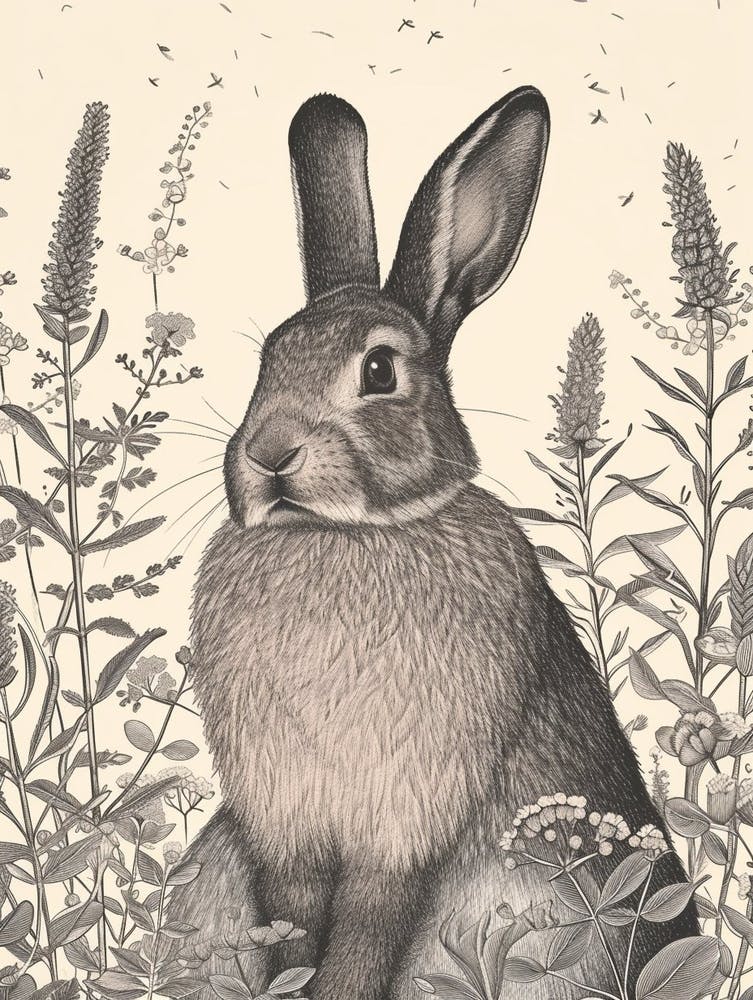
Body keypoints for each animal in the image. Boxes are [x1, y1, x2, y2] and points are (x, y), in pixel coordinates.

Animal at [169, 87, 699, 1000]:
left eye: (379, 372)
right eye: (269, 359)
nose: (269, 453)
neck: (346, 535)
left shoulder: (406, 823)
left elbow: (368, 929)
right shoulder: (284, 830)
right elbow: (292, 921)